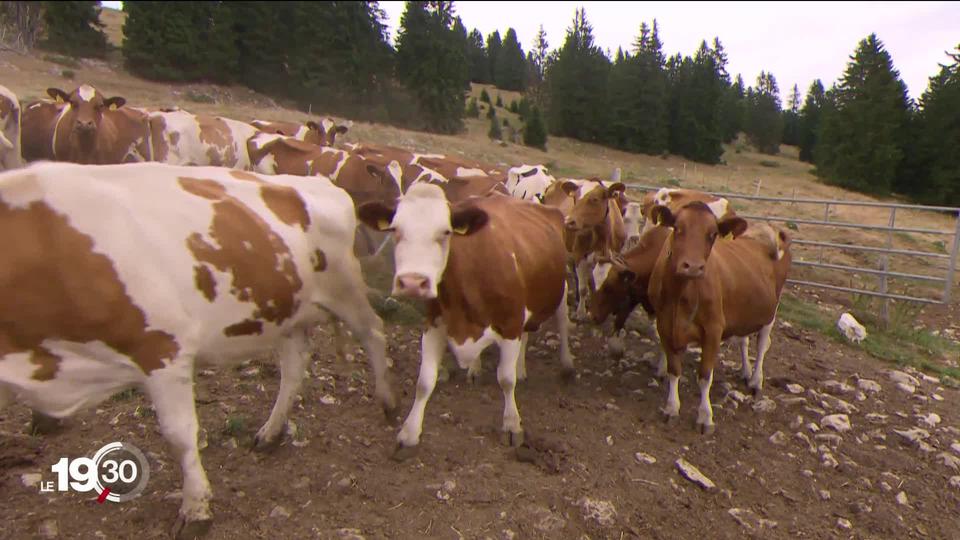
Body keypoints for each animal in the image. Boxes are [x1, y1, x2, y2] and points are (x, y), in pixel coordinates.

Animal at [0, 161, 398, 540]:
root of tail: (322, 183)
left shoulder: (164, 349)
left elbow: (179, 436)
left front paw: (195, 510)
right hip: (286, 308)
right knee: (295, 365)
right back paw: (271, 431)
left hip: (345, 290)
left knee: (374, 333)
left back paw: (388, 403)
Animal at [358, 184, 568, 458]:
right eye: (395, 229)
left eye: (445, 232)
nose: (413, 282)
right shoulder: (434, 323)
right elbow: (424, 381)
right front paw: (409, 434)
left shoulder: (511, 323)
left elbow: (506, 378)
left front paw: (512, 425)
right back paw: (482, 368)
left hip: (561, 290)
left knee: (559, 322)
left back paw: (563, 365)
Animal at [644, 202, 796, 434]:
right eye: (677, 228)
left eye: (712, 234)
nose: (693, 266)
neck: (681, 295)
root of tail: (767, 229)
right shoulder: (665, 324)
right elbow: (674, 370)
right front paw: (671, 407)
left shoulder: (713, 329)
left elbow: (705, 376)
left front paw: (705, 417)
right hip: (743, 312)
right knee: (744, 341)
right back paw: (746, 371)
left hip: (772, 310)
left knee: (762, 344)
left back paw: (755, 381)